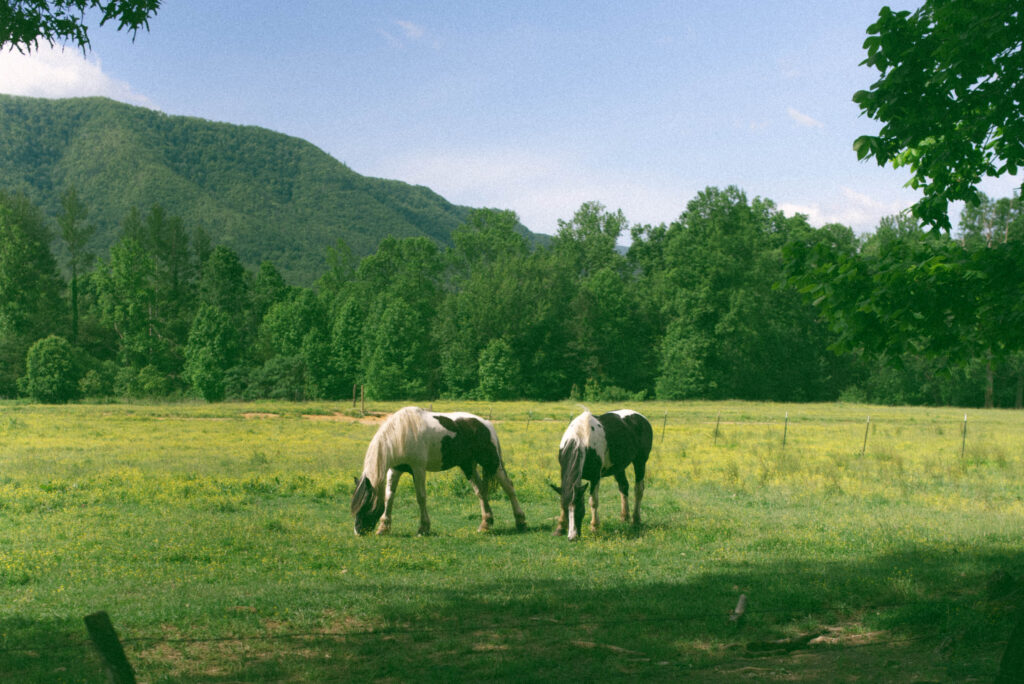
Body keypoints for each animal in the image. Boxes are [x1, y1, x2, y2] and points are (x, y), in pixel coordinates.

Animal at [351, 406, 527, 536]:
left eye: (365, 505)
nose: (358, 532)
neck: (401, 433)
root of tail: (486, 424)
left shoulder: (418, 469)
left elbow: (421, 497)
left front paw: (423, 528)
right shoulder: (395, 469)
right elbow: (389, 497)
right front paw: (384, 528)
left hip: (492, 463)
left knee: (509, 487)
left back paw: (521, 522)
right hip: (468, 466)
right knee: (481, 491)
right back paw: (485, 525)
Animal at [550, 409, 652, 541]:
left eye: (580, 509)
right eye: (567, 509)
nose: (573, 537)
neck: (580, 438)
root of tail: (641, 417)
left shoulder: (595, 477)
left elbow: (593, 501)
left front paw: (594, 527)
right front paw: (560, 528)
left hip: (640, 462)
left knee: (638, 490)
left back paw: (636, 520)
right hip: (618, 467)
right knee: (624, 487)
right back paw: (624, 517)